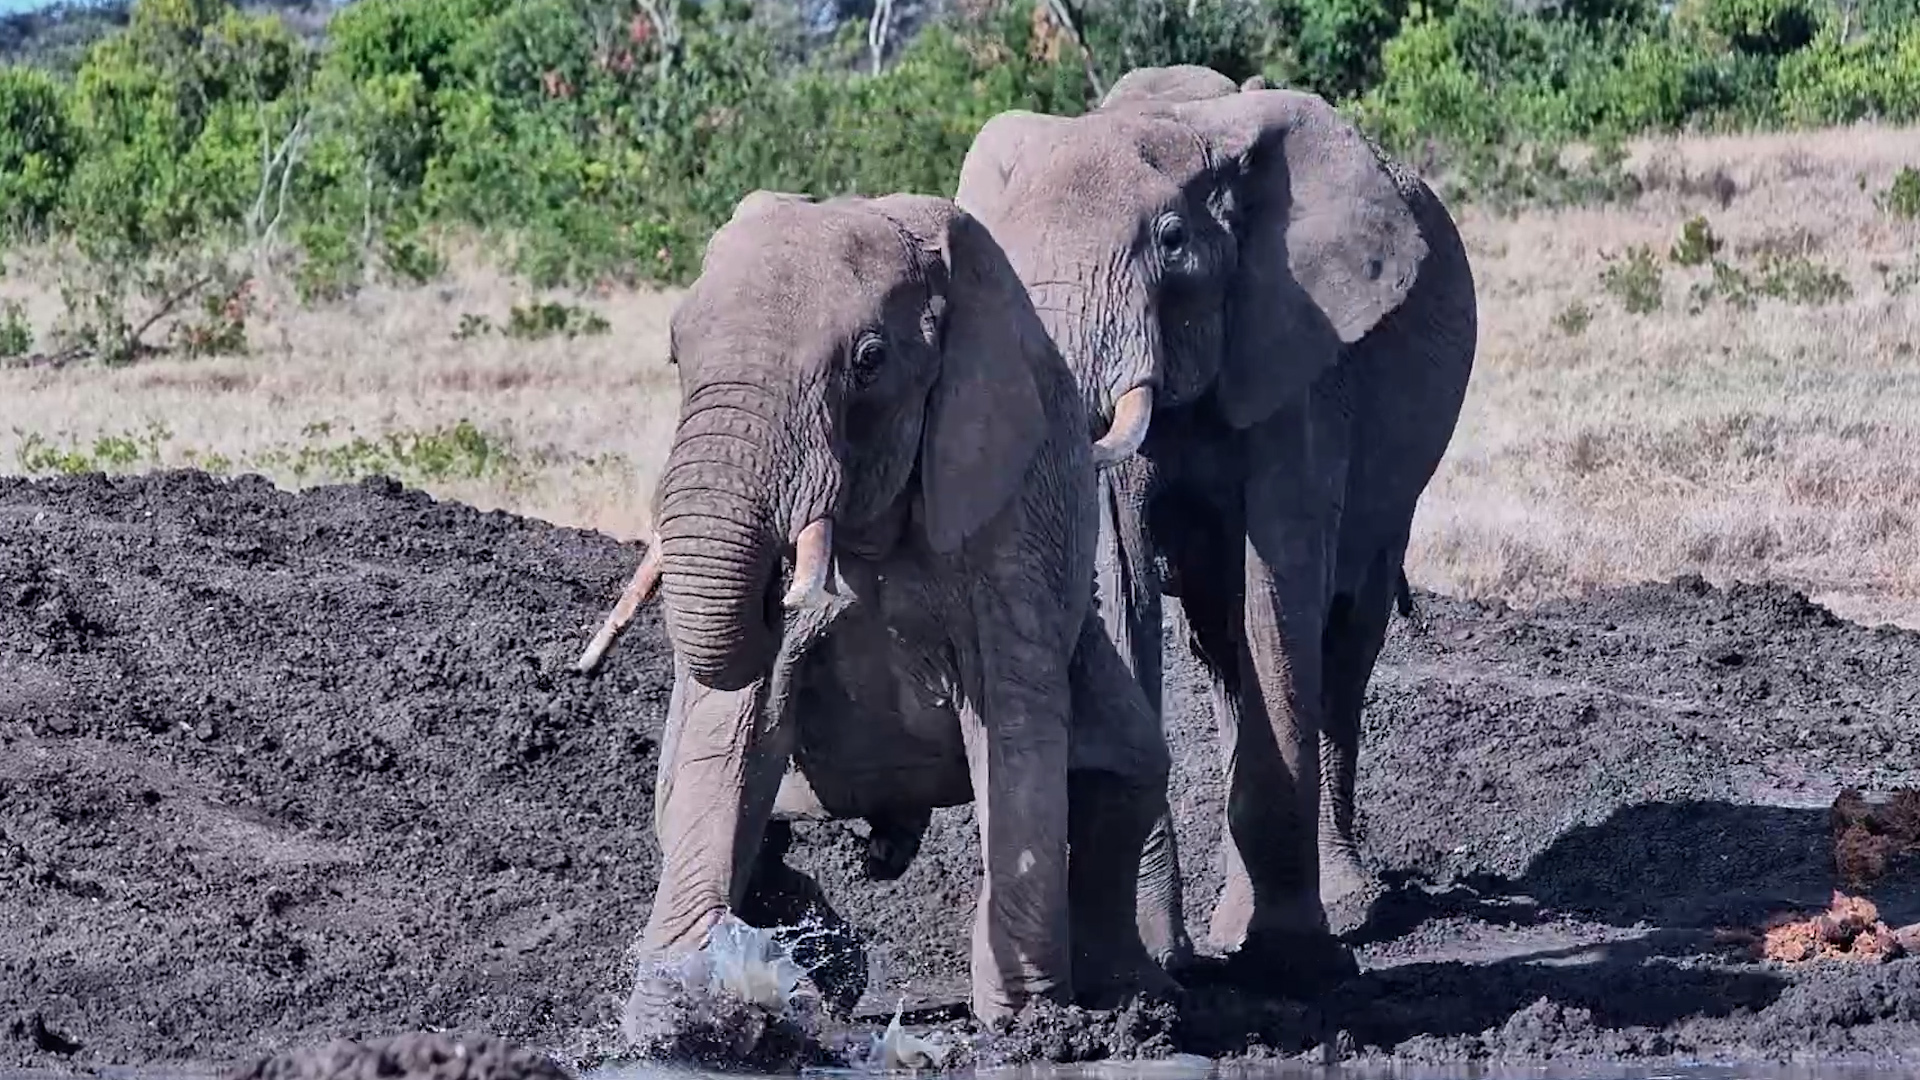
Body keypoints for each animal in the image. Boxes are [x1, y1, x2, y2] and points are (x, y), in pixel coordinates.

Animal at [573, 190, 1174, 1030]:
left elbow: (1016, 721)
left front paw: (1029, 1028)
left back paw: (1132, 1001)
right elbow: (731, 731)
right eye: (674, 351)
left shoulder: (1013, 501)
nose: (778, 586)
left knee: (1130, 772)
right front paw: (671, 1018)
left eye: (868, 362)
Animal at [951, 64, 1478, 991]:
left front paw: (1291, 961)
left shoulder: (1301, 346)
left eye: (1171, 241)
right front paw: (1158, 964)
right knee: (1224, 650)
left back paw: (1344, 904)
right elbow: (1122, 585)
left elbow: (1283, 581)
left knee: (1343, 635)